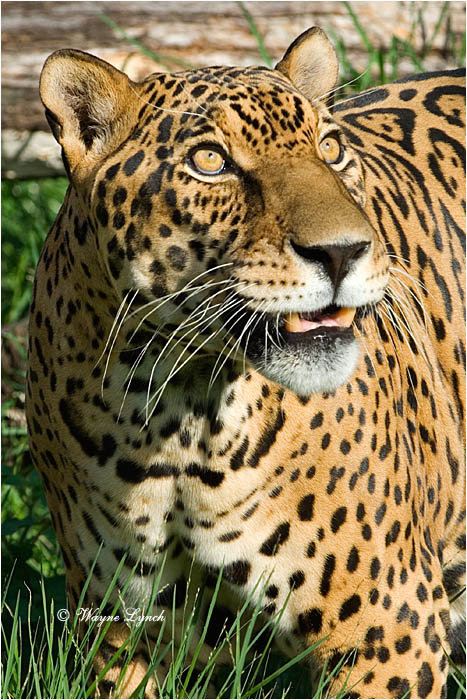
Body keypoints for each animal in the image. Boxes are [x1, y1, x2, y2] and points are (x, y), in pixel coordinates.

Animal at [26, 27, 465, 699]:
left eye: (331, 148)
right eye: (212, 162)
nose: (343, 252)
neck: (173, 411)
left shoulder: (388, 627)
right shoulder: (127, 632)